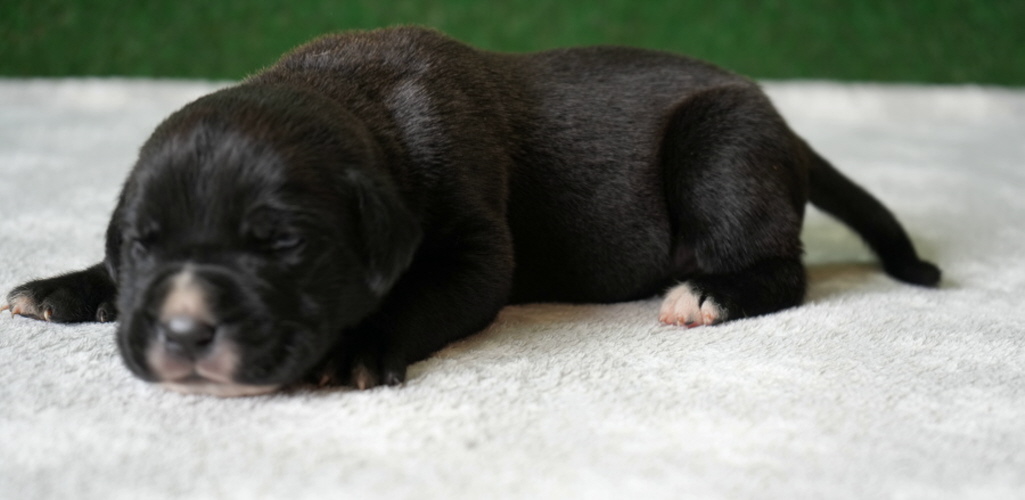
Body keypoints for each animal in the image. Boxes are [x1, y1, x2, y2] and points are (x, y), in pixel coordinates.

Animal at [3, 26, 940, 397]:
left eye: (282, 245)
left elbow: (423, 293)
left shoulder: (476, 251)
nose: (184, 331)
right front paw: (64, 287)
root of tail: (785, 126)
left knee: (784, 269)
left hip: (718, 148)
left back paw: (704, 294)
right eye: (140, 244)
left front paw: (358, 348)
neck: (349, 98)